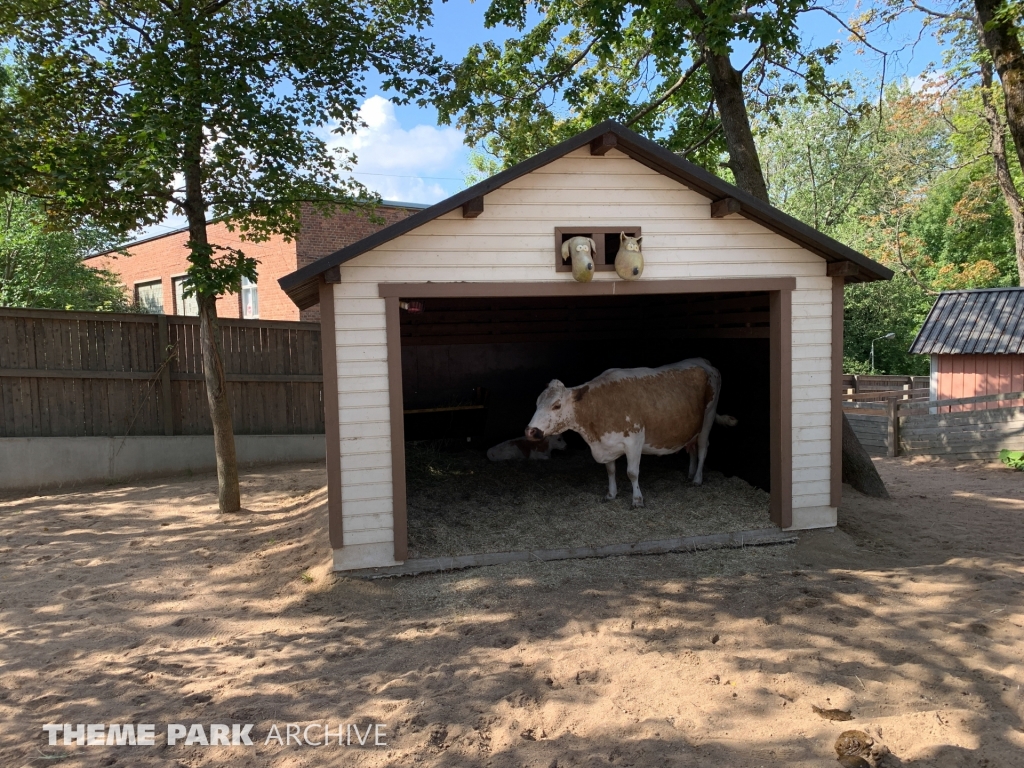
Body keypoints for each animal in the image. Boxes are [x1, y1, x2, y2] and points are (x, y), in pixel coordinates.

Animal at [528, 360, 737, 507]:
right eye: (537, 403)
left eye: (556, 405)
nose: (531, 430)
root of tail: (705, 362)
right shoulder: (608, 443)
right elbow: (610, 470)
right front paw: (611, 494)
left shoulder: (635, 440)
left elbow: (632, 473)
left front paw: (637, 500)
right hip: (690, 427)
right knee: (692, 448)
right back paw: (690, 474)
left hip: (708, 418)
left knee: (702, 449)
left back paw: (697, 479)